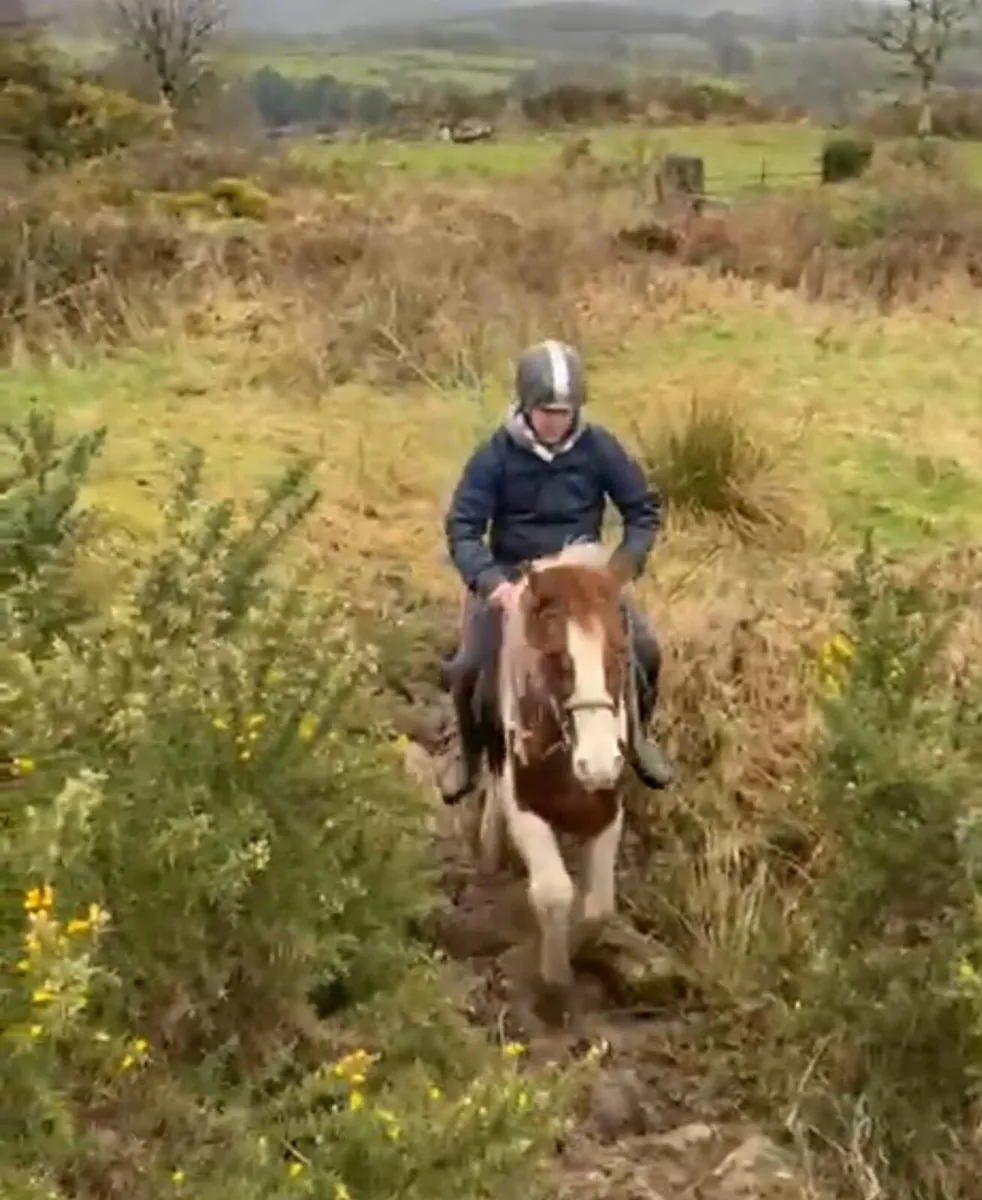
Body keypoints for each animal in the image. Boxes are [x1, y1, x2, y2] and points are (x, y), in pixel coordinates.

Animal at [472, 541, 635, 1016]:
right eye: (556, 658)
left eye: (619, 654)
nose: (597, 764)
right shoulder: (526, 809)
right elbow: (553, 892)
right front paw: (554, 980)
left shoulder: (608, 809)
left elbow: (597, 908)